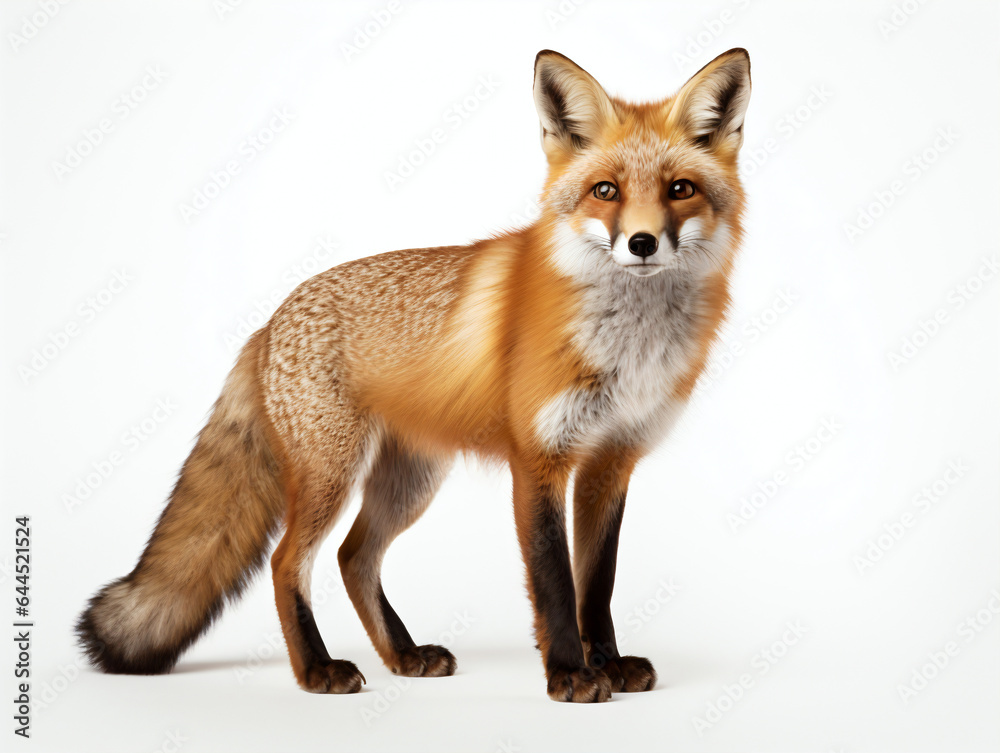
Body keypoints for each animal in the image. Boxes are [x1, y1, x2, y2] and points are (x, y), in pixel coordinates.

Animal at [78, 48, 751, 702]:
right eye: (605, 190)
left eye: (681, 188)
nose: (641, 243)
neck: (630, 348)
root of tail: (268, 323)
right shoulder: (539, 460)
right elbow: (556, 582)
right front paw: (569, 674)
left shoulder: (611, 462)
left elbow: (598, 582)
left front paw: (606, 663)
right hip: (333, 473)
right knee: (288, 562)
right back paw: (317, 671)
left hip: (411, 479)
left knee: (354, 557)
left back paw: (402, 656)